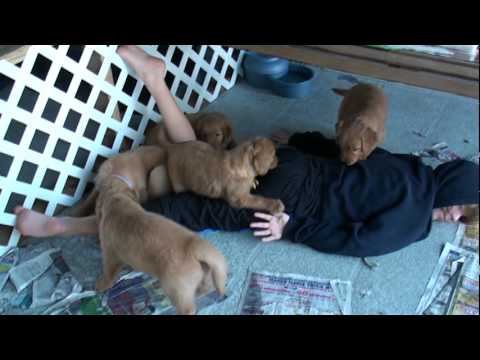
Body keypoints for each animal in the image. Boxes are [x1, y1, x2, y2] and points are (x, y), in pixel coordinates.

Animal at [94, 170, 230, 314]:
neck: (117, 199)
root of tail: (194, 244)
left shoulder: (110, 254)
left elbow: (109, 273)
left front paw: (101, 285)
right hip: (205, 273)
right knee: (206, 286)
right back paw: (199, 292)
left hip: (176, 290)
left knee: (189, 309)